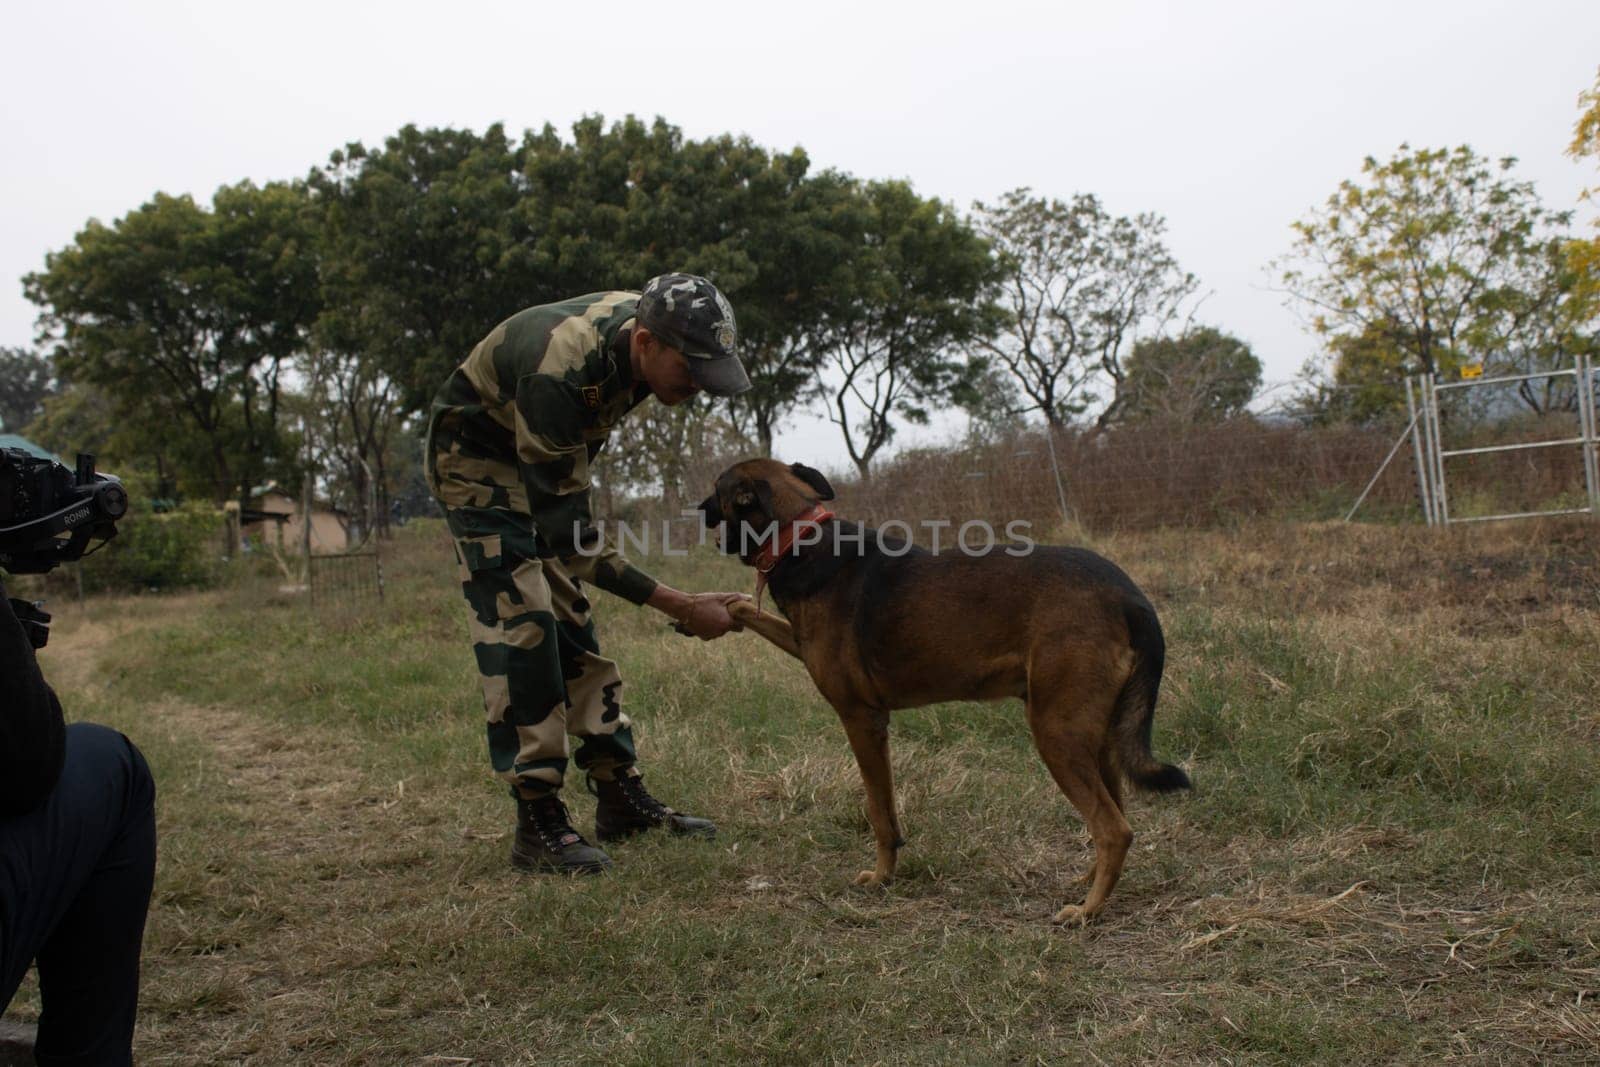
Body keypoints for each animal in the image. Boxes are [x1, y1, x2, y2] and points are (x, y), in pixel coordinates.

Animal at [700, 454, 1190, 921]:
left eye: (717, 491)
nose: (699, 510)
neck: (798, 538)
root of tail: (1131, 598)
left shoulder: (861, 720)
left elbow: (879, 811)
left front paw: (882, 876)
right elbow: (746, 610)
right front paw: (715, 608)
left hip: (1057, 733)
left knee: (1114, 828)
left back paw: (1087, 911)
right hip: (1096, 737)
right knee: (1115, 814)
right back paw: (1090, 884)